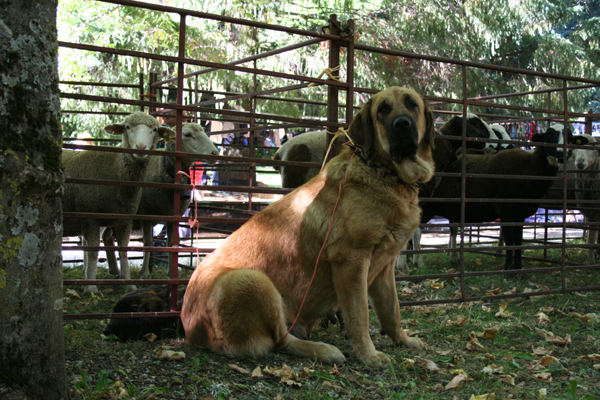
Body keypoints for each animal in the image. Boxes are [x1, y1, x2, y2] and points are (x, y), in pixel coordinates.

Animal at [62, 111, 175, 294]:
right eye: (127, 127)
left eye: (154, 130)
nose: (141, 148)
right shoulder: (90, 216)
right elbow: (93, 252)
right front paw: (91, 287)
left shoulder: (125, 219)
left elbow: (123, 251)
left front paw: (128, 283)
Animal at [102, 122, 219, 278]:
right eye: (187, 134)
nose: (215, 153)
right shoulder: (146, 213)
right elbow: (148, 243)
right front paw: (145, 273)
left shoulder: (172, 215)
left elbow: (171, 243)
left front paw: (171, 272)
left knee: (106, 236)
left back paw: (114, 270)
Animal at [179, 86, 436, 368]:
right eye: (383, 110)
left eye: (412, 104)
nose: (402, 124)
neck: (385, 173)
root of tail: (189, 331)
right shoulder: (352, 261)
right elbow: (360, 316)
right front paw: (368, 354)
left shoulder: (385, 266)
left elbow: (392, 311)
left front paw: (403, 340)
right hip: (251, 280)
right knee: (281, 340)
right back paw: (324, 351)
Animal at [422, 123, 580, 270]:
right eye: (549, 135)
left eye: (570, 137)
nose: (562, 153)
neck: (529, 168)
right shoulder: (506, 210)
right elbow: (510, 240)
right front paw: (508, 268)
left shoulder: (520, 214)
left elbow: (518, 241)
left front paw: (518, 267)